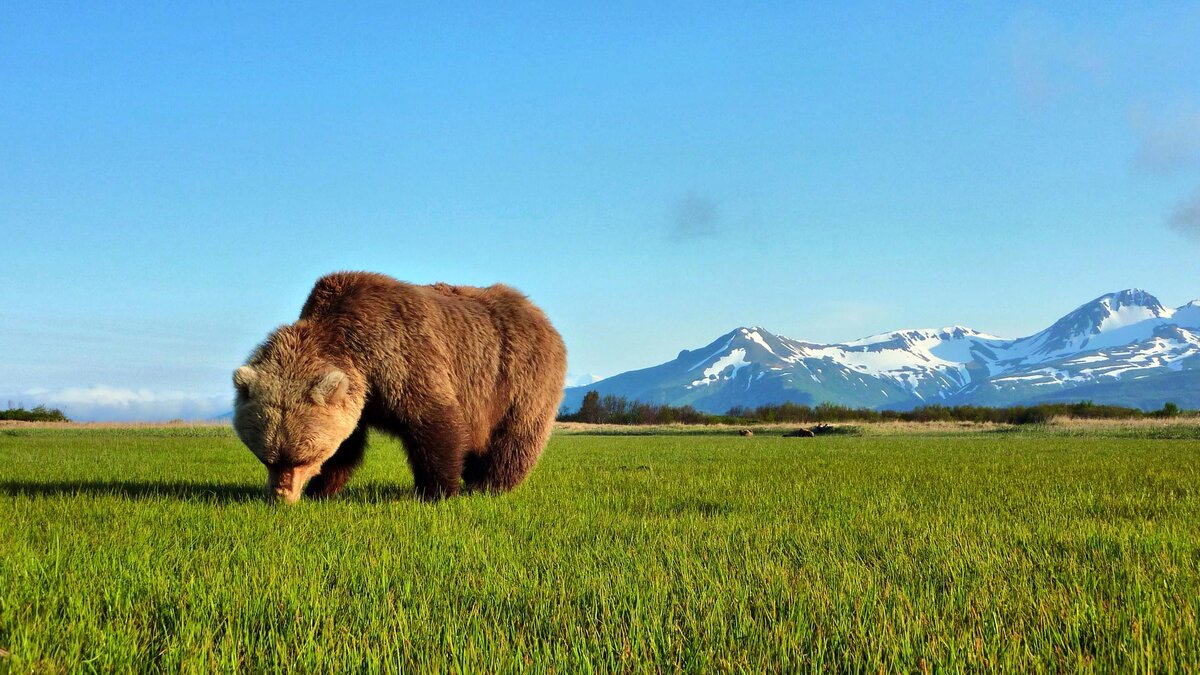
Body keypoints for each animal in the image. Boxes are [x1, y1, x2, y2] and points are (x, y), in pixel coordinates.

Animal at [235, 271, 571, 499]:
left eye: (302, 457)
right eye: (266, 457)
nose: (282, 496)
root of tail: (539, 313)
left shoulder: (400, 356)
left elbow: (434, 422)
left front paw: (436, 491)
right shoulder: (360, 398)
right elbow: (347, 446)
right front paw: (322, 489)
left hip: (518, 377)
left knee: (515, 437)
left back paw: (489, 485)